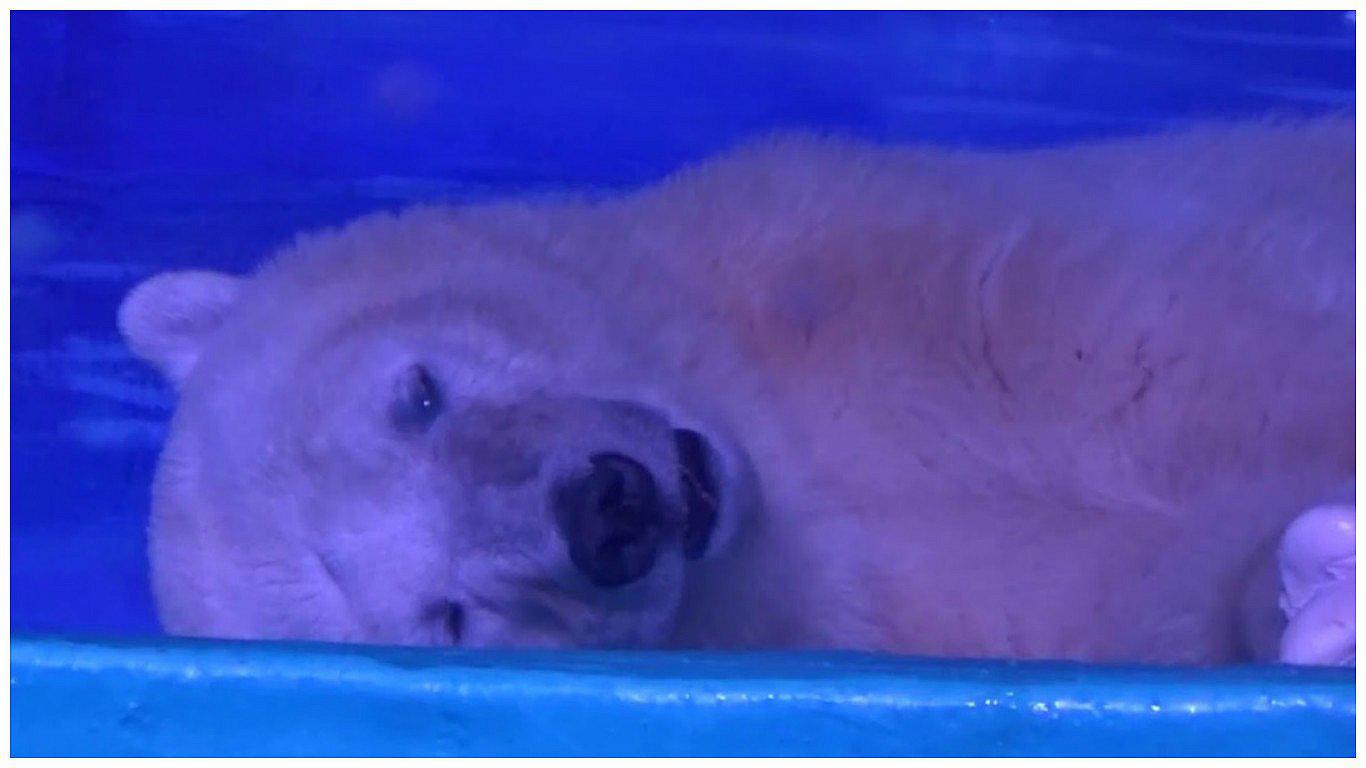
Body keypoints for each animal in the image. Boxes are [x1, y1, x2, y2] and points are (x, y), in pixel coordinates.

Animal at [118, 119, 1354, 664]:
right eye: (449, 617)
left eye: (419, 395)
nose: (609, 509)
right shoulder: (947, 613)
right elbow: (1169, 595)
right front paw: (1321, 595)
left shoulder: (894, 267)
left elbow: (1180, 343)